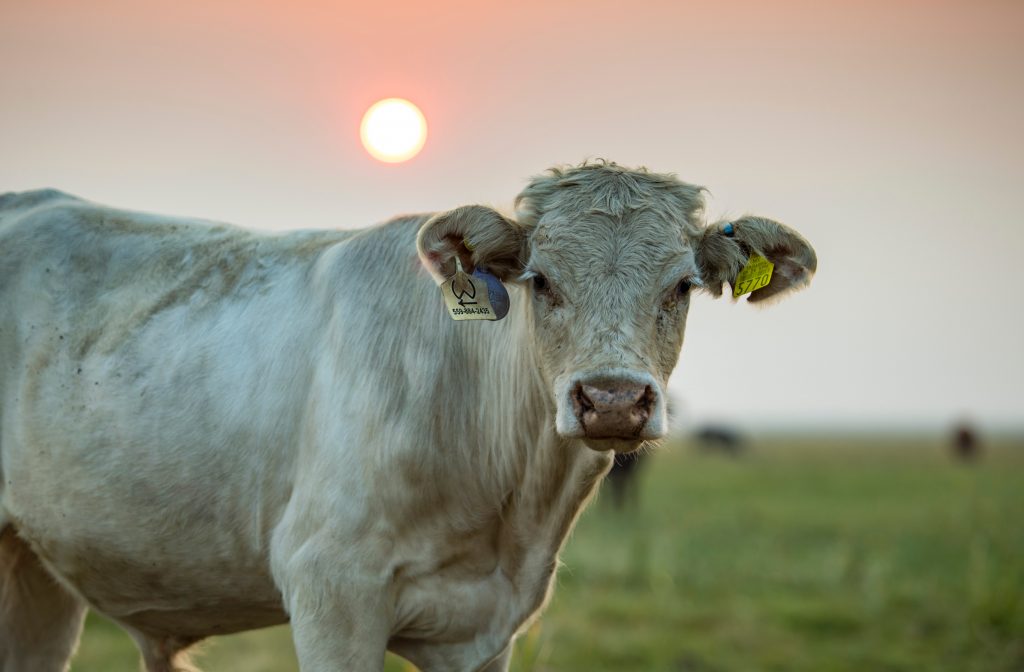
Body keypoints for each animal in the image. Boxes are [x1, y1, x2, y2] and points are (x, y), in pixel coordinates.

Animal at [0, 162, 815, 672]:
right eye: (540, 281)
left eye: (680, 286)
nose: (612, 398)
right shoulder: (330, 590)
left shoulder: (488, 631)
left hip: (39, 575)